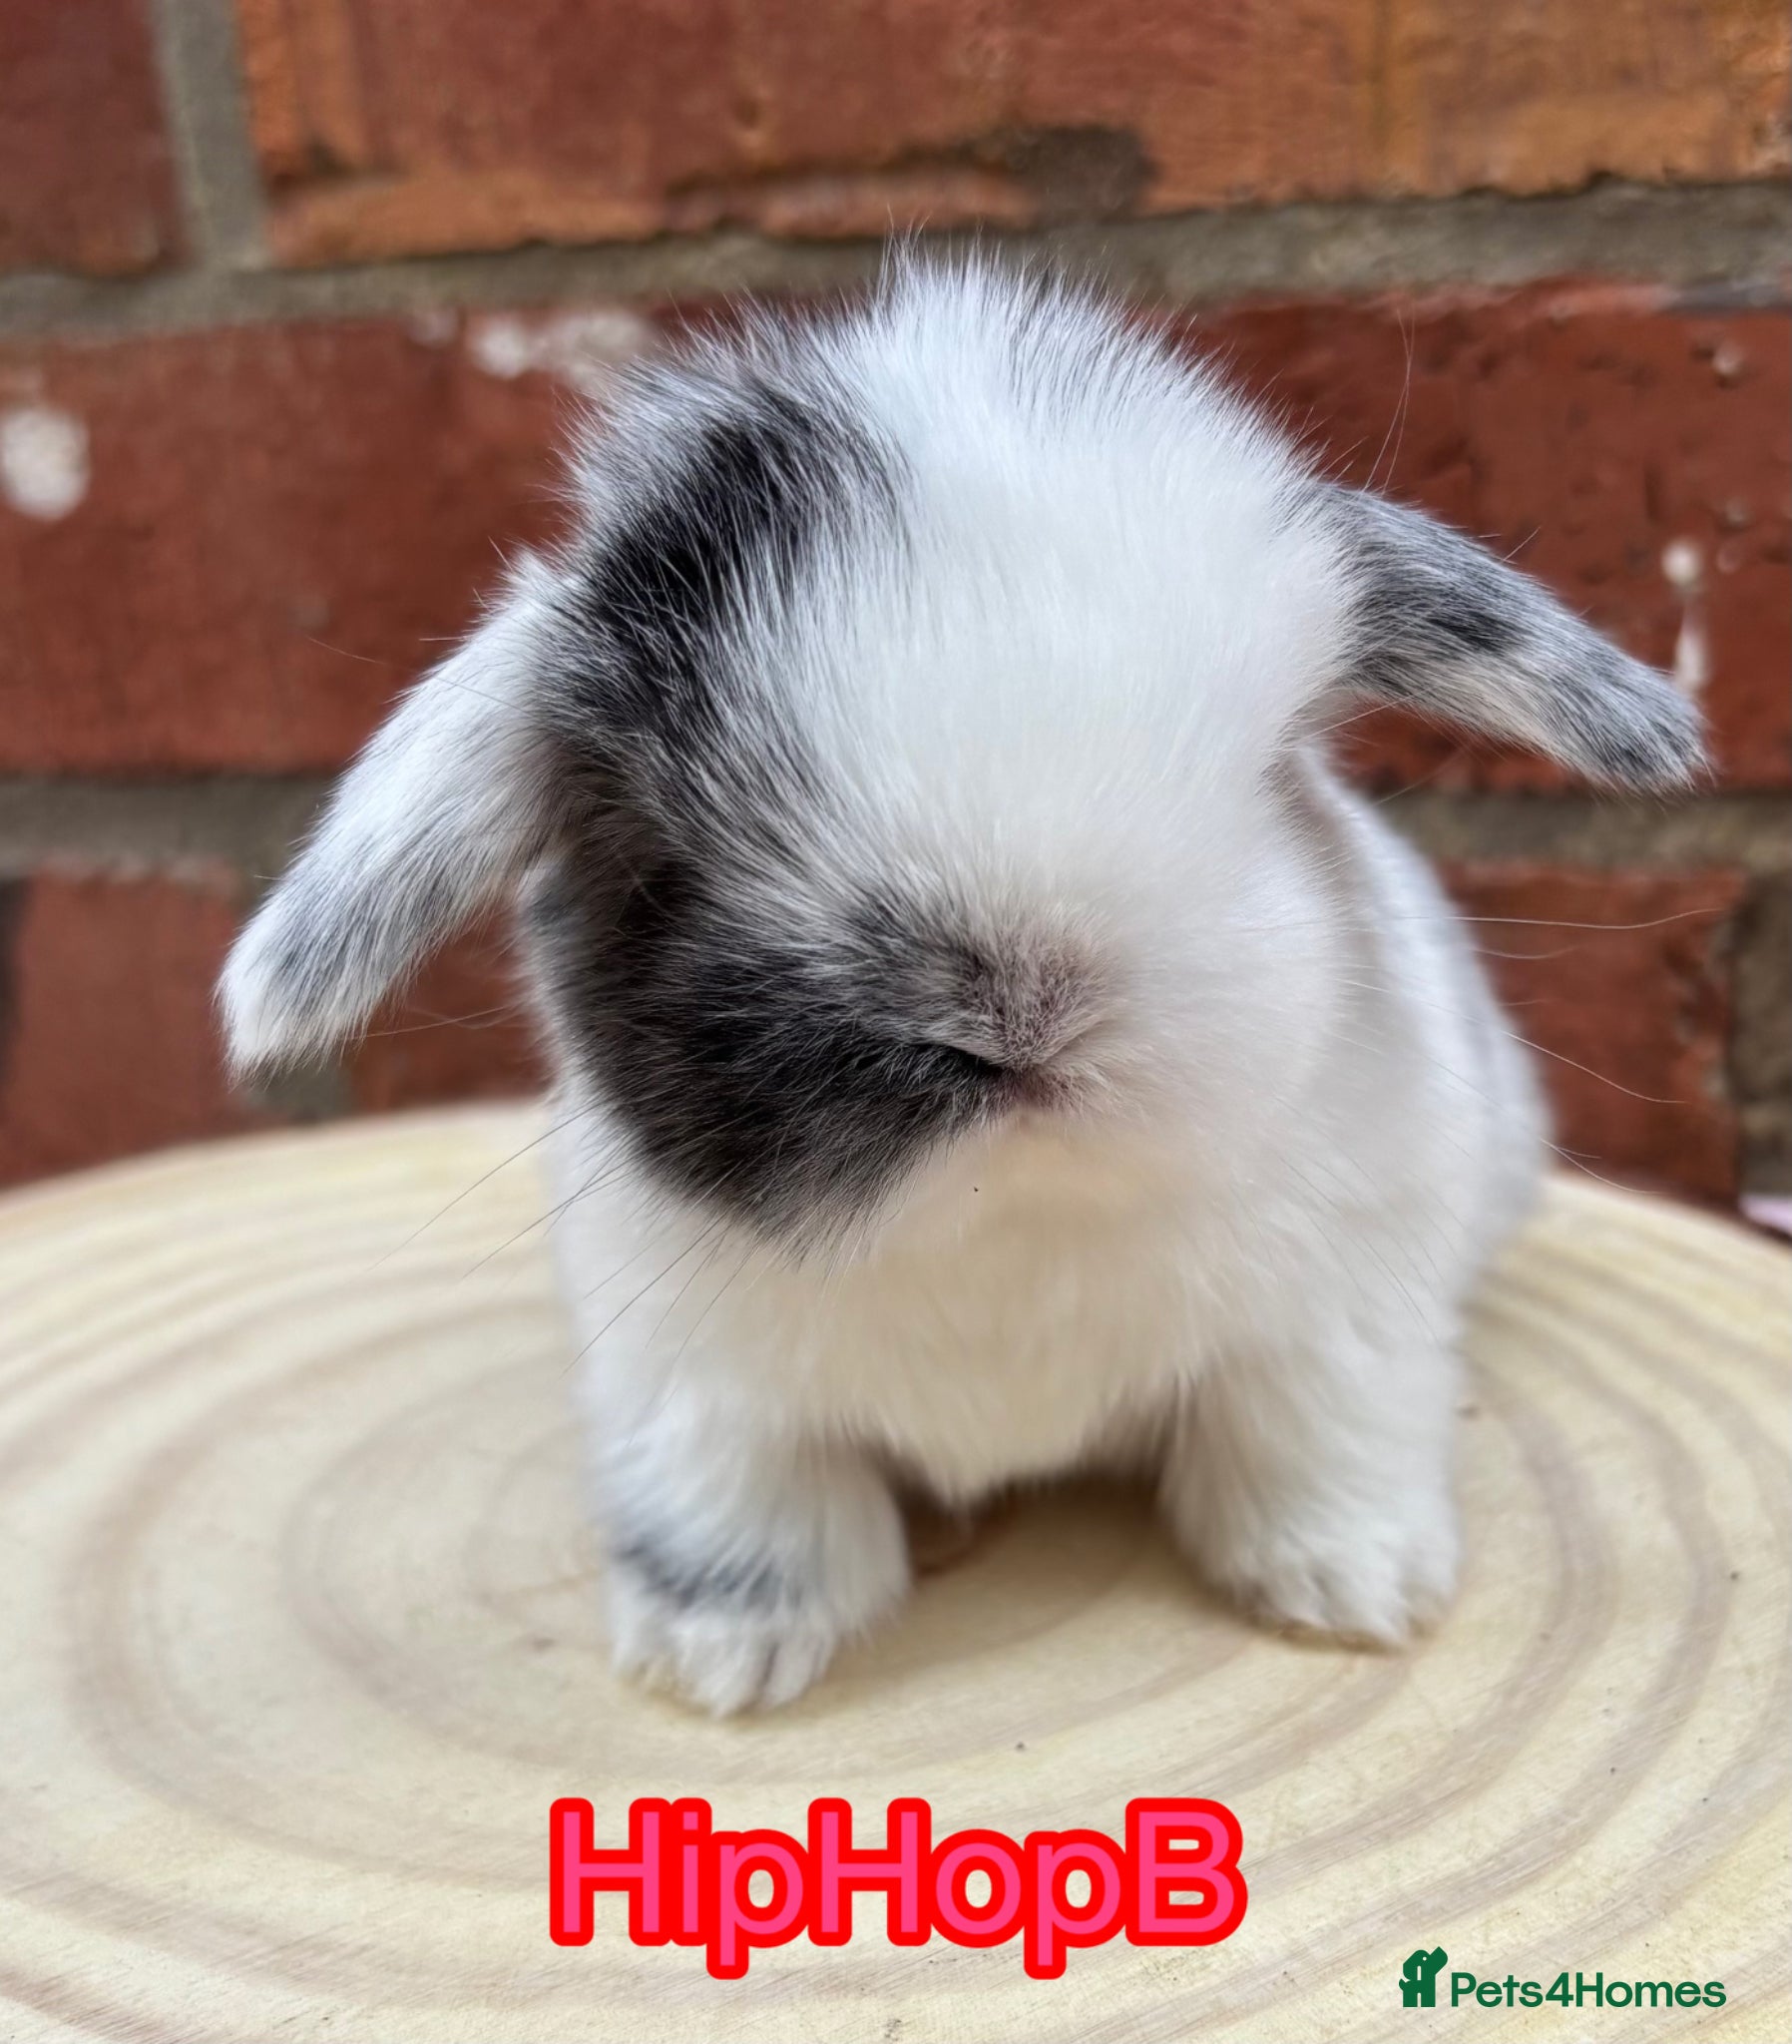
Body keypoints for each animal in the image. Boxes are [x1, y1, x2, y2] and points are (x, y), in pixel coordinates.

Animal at [220, 255, 1702, 1714]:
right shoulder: (688, 1387)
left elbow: (1306, 1443)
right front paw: (721, 1659)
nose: (1022, 1018)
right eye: (656, 851)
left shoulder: (1337, 1322)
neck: (1013, 1220)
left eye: (1275, 769)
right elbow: (746, 1507)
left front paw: (1357, 1595)